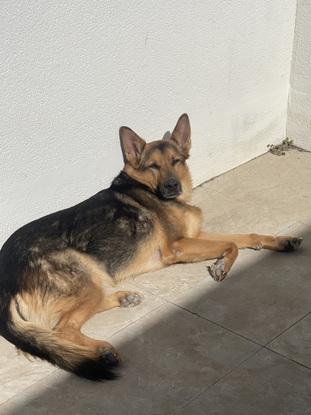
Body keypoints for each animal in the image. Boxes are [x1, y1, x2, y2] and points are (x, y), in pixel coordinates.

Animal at [0, 114, 302, 380]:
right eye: (153, 166)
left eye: (176, 161)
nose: (172, 186)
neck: (147, 187)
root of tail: (6, 283)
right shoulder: (177, 248)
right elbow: (230, 244)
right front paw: (221, 266)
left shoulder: (196, 234)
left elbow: (245, 236)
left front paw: (280, 240)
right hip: (84, 271)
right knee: (61, 329)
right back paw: (101, 350)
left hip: (95, 278)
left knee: (71, 318)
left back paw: (124, 299)